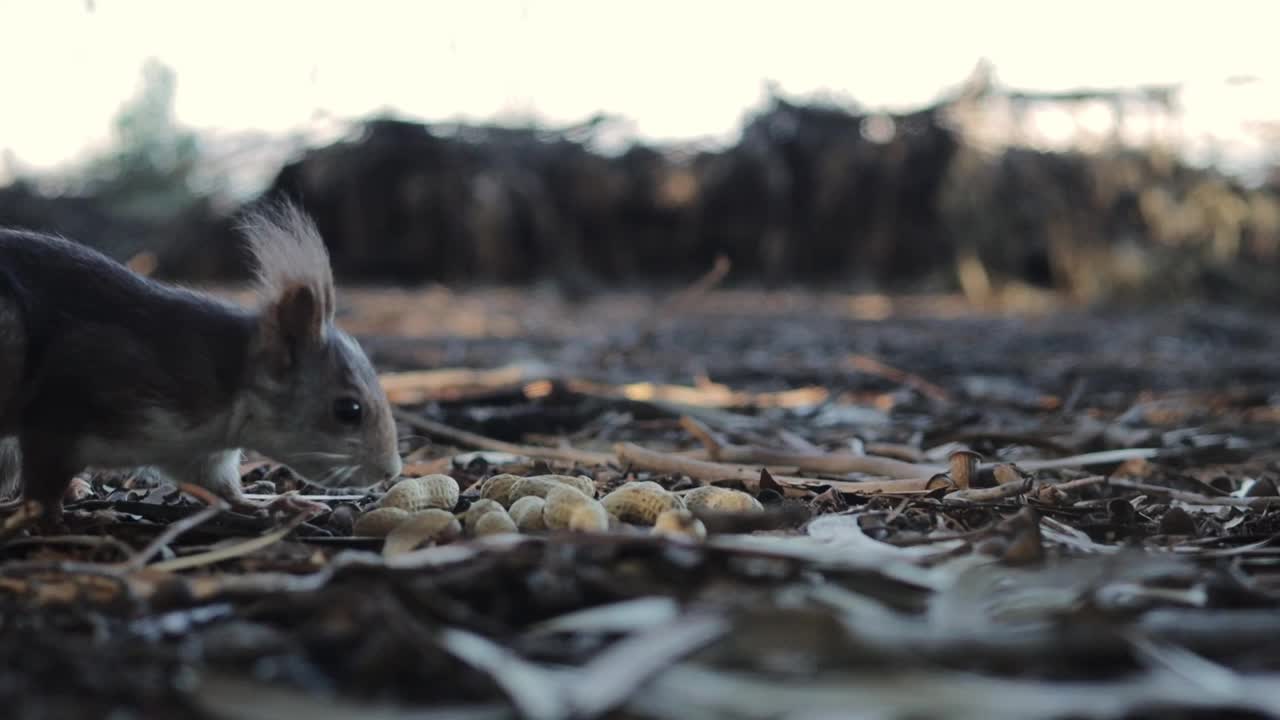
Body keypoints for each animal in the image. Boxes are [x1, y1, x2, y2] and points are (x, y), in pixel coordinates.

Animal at [0, 198, 401, 525]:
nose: (391, 472)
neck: (231, 384)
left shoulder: (197, 452)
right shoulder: (70, 397)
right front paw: (51, 515)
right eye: (348, 410)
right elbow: (42, 473)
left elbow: (221, 489)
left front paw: (277, 504)